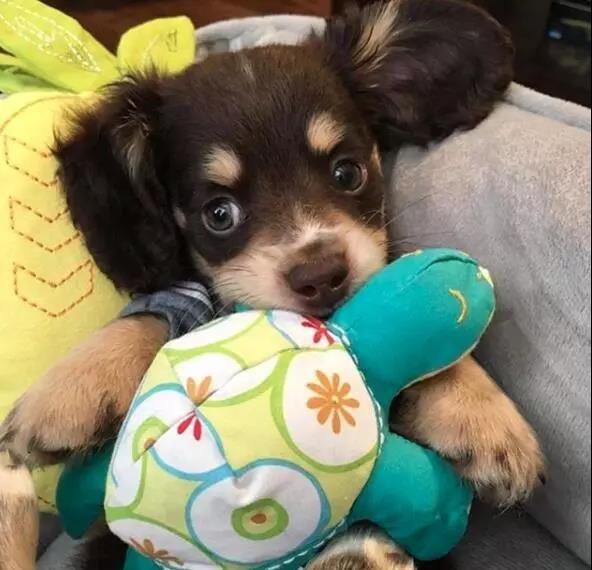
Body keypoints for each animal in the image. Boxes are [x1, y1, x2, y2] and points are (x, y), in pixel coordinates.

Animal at [0, 1, 545, 569]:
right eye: (219, 214)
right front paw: (69, 391)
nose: (322, 276)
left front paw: (484, 416)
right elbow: (160, 315)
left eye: (347, 173)